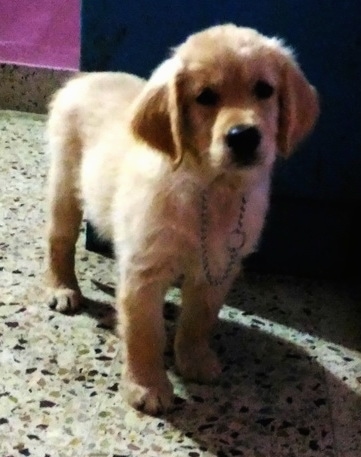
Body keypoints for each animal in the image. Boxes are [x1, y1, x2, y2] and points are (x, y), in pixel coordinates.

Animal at [45, 24, 318, 414]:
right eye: (205, 97)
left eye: (264, 90)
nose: (244, 136)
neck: (211, 189)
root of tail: (84, 79)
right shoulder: (144, 270)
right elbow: (144, 332)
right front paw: (146, 386)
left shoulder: (216, 268)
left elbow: (199, 319)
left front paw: (194, 359)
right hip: (65, 186)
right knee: (59, 240)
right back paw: (63, 288)